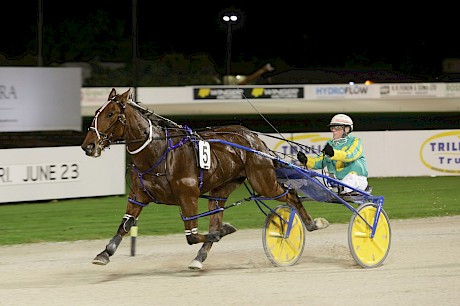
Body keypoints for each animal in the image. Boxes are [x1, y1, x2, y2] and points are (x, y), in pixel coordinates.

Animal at [81, 88, 328, 270]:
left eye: (110, 114)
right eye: (96, 112)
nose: (88, 146)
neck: (158, 152)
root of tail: (256, 139)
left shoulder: (188, 196)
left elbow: (191, 235)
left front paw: (224, 231)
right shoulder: (138, 195)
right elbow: (124, 225)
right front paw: (105, 252)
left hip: (264, 181)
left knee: (291, 194)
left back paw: (311, 223)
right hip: (221, 189)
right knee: (216, 216)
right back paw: (200, 257)